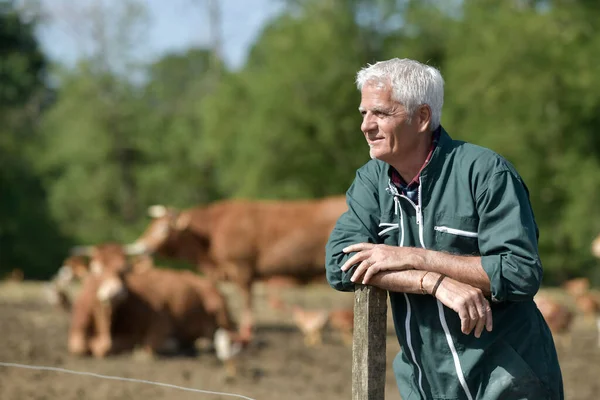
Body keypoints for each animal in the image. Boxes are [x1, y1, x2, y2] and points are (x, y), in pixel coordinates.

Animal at [125, 195, 350, 340]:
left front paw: (246, 331)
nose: (140, 245)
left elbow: (246, 298)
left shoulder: (241, 267)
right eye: (151, 226)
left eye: (163, 229)